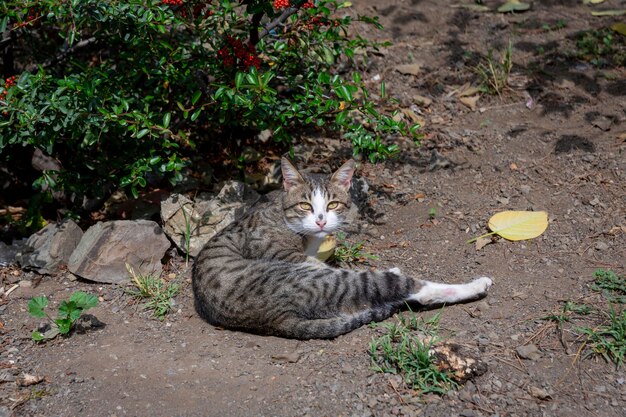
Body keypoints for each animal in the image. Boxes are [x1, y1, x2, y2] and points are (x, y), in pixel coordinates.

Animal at [191, 157, 492, 338]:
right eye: (305, 205)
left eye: (333, 204)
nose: (321, 220)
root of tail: (276, 319)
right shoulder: (283, 252)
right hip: (325, 280)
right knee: (406, 288)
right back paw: (475, 285)